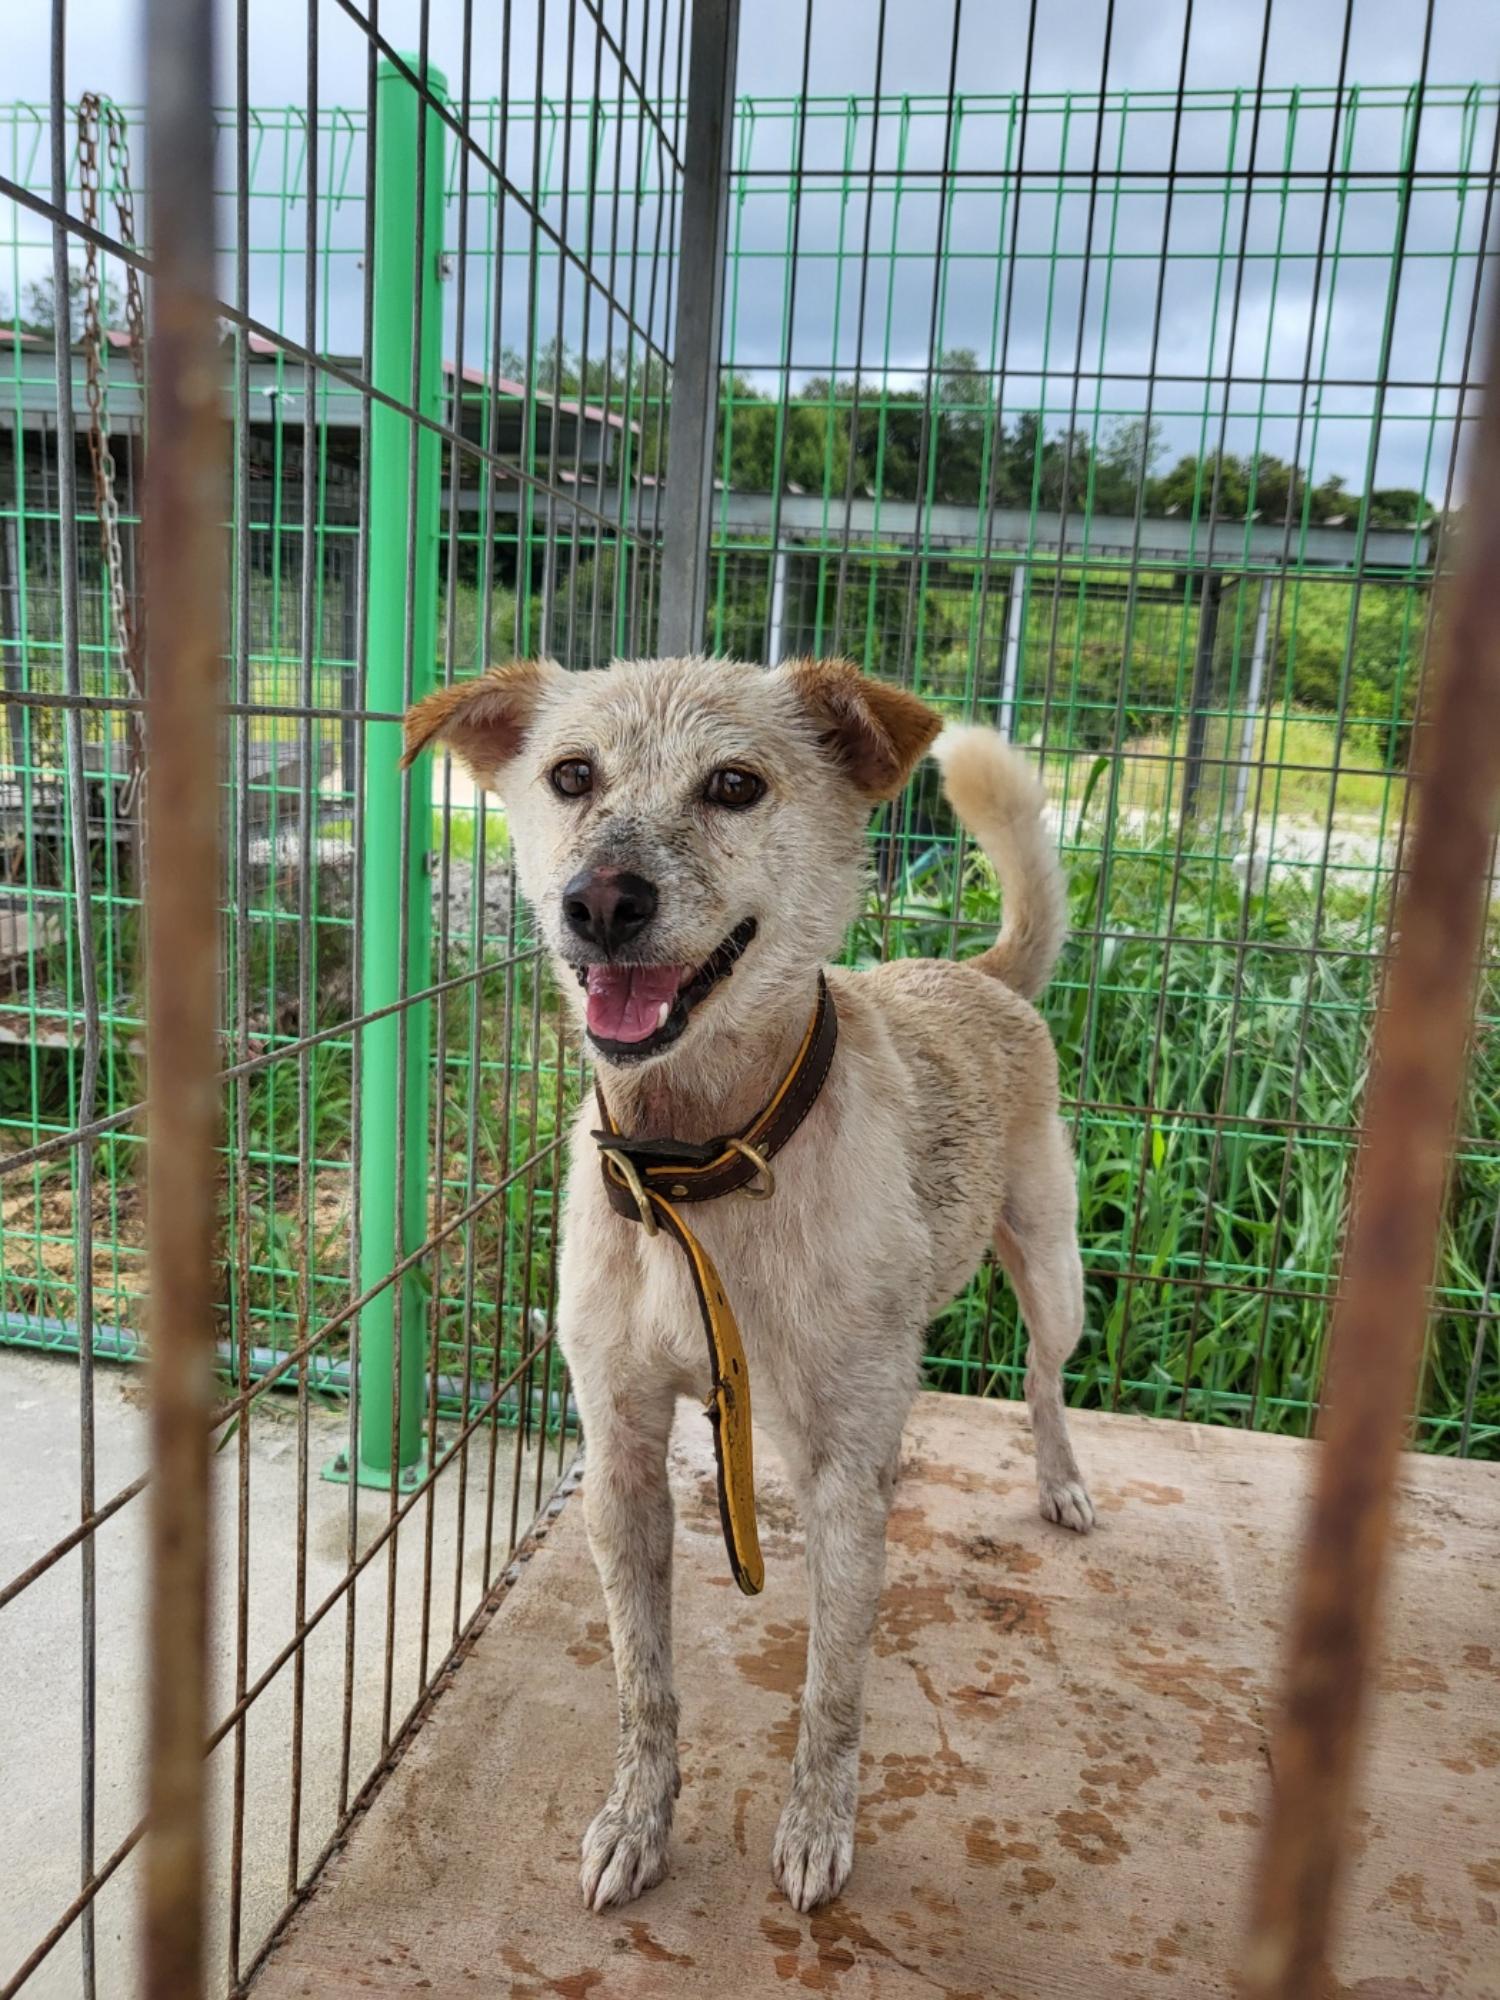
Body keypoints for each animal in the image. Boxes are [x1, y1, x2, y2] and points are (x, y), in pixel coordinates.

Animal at [406, 656, 1096, 1920]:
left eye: (735, 784)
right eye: (570, 775)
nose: (600, 900)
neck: (698, 1161)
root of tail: (974, 971)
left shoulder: (846, 1474)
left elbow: (833, 1686)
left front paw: (818, 1826)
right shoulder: (622, 1453)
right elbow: (645, 1680)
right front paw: (638, 1819)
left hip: (1052, 1263)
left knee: (1041, 1376)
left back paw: (1062, 1479)